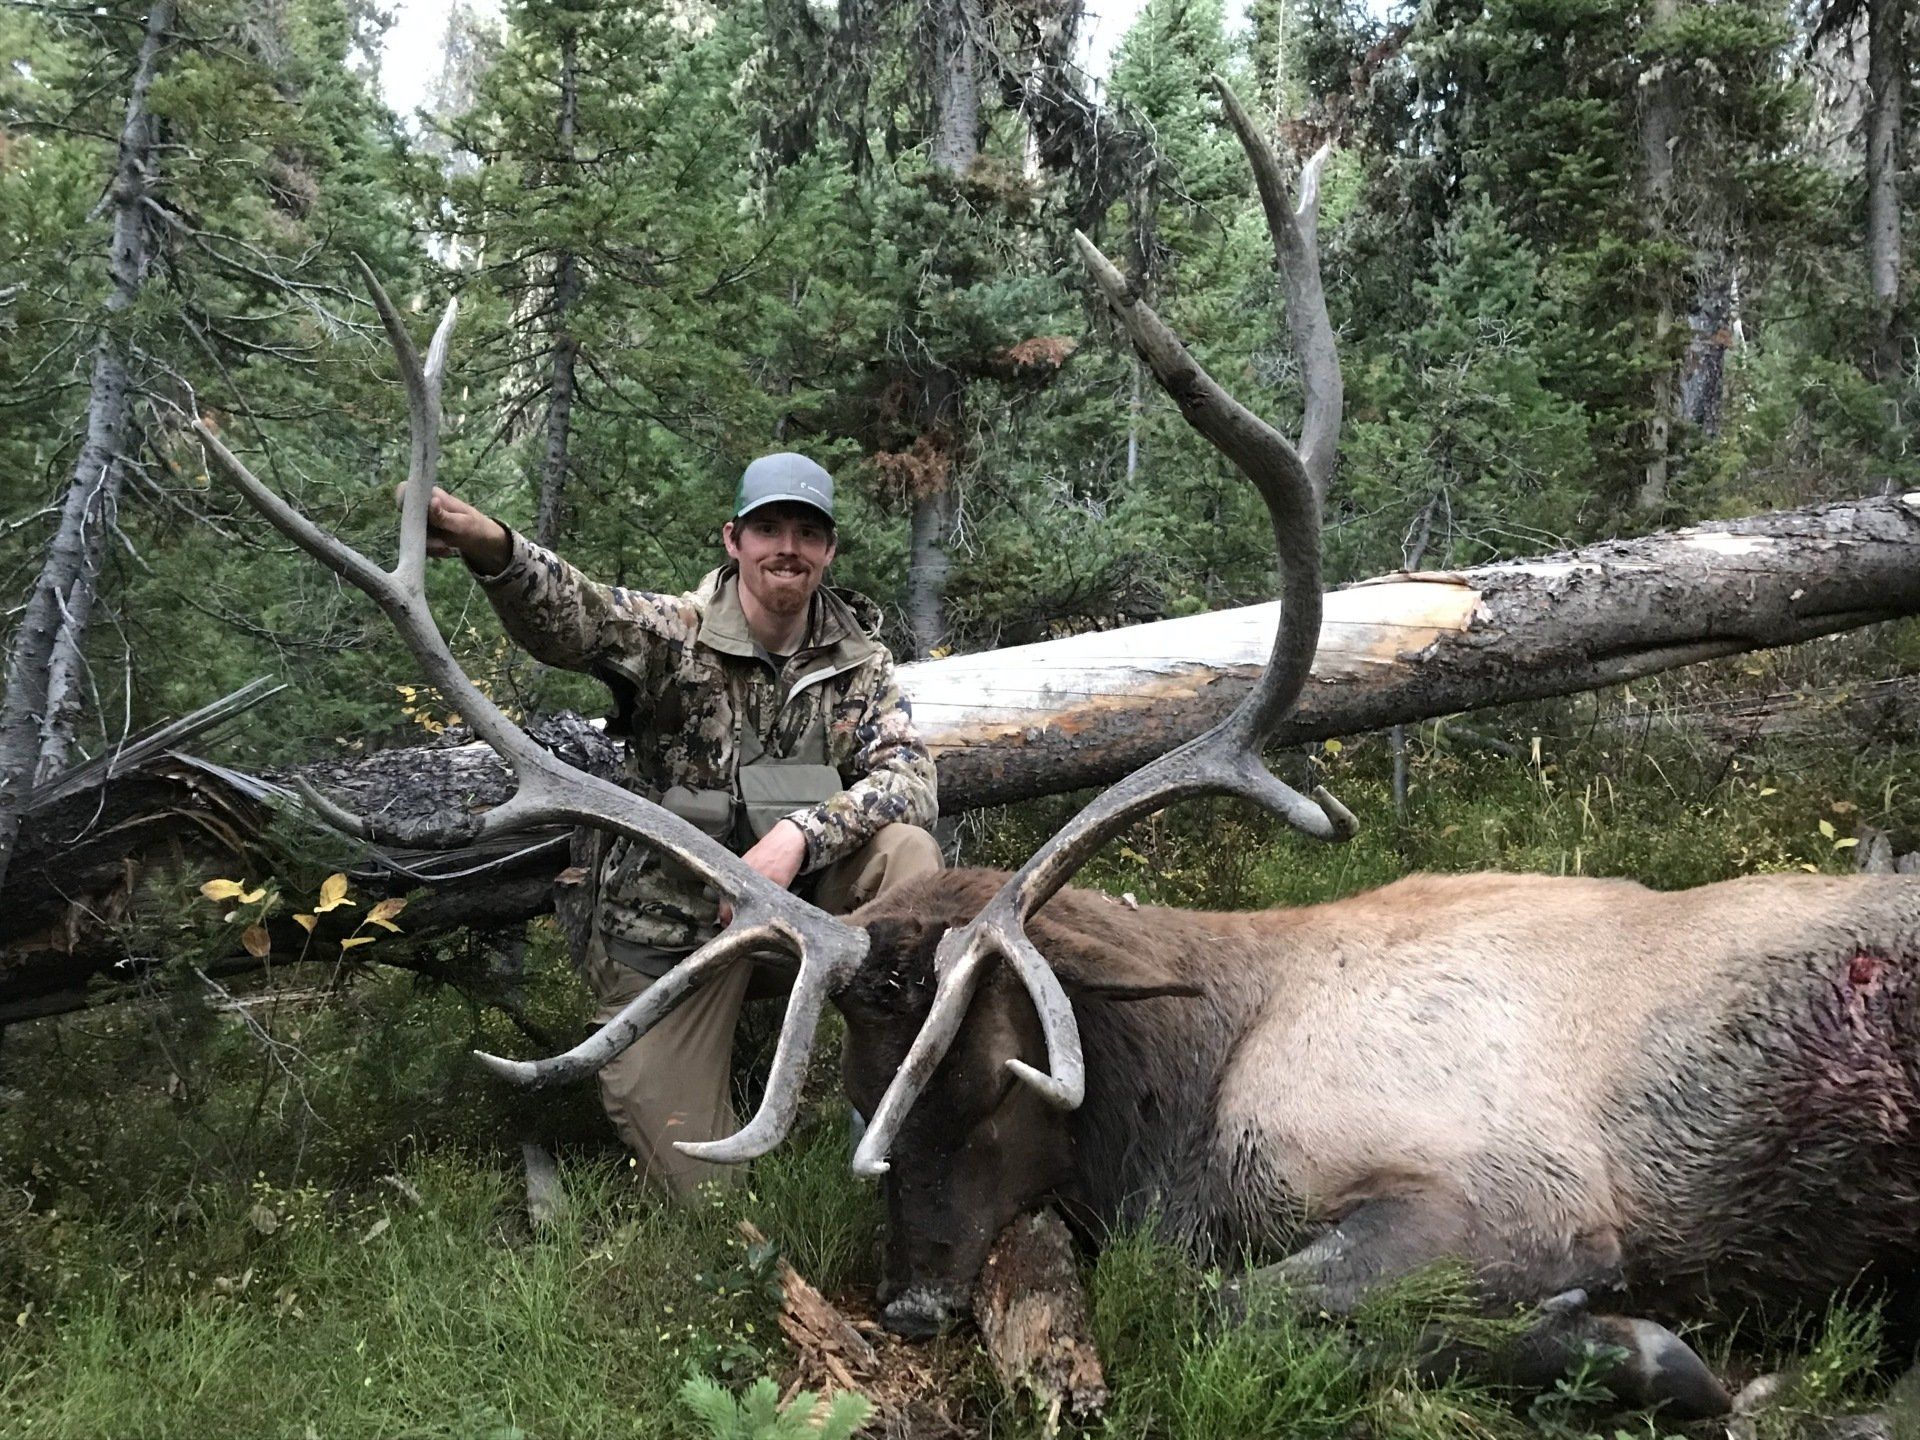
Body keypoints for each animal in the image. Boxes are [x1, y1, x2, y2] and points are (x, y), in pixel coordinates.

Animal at [195, 80, 1920, 1420]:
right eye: (858, 1084)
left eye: (994, 1079)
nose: (908, 1308)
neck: (1193, 1091)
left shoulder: (1516, 1194)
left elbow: (1220, 1304)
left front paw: (1652, 1354)